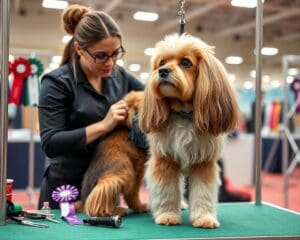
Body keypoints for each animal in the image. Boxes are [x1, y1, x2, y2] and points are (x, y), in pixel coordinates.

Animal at [139, 33, 239, 227]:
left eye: (186, 63)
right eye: (162, 62)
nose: (162, 71)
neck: (183, 114)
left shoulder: (204, 163)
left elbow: (203, 192)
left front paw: (204, 217)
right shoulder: (165, 160)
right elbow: (167, 190)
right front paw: (167, 214)